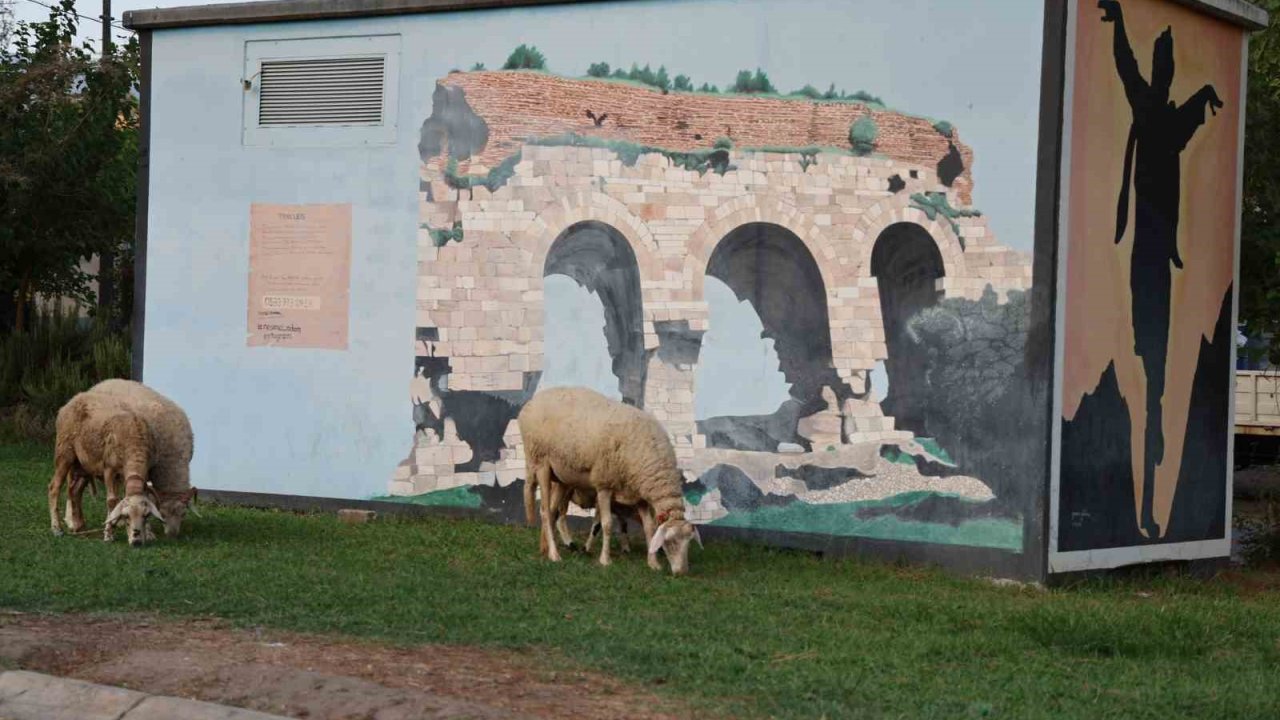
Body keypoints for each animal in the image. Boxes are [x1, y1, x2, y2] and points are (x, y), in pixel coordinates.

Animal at [517, 384, 706, 573]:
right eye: (669, 542)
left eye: (688, 542)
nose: (682, 572)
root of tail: (531, 403)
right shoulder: (604, 485)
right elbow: (606, 524)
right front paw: (605, 559)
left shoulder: (638, 496)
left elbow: (649, 528)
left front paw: (653, 563)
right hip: (540, 462)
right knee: (545, 512)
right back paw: (554, 554)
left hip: (562, 478)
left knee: (553, 511)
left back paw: (545, 548)